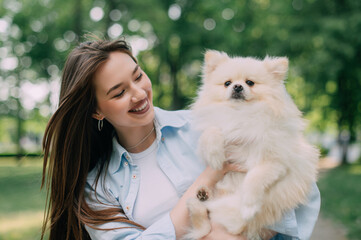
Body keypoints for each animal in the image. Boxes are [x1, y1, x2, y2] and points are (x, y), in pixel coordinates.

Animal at [186, 49, 318, 239]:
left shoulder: (274, 162)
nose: (237, 86)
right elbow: (211, 132)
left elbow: (253, 180)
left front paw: (248, 206)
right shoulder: (215, 132)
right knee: (205, 226)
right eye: (227, 83)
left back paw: (199, 203)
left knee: (225, 224)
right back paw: (199, 199)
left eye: (250, 82)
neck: (241, 114)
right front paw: (215, 156)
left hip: (236, 215)